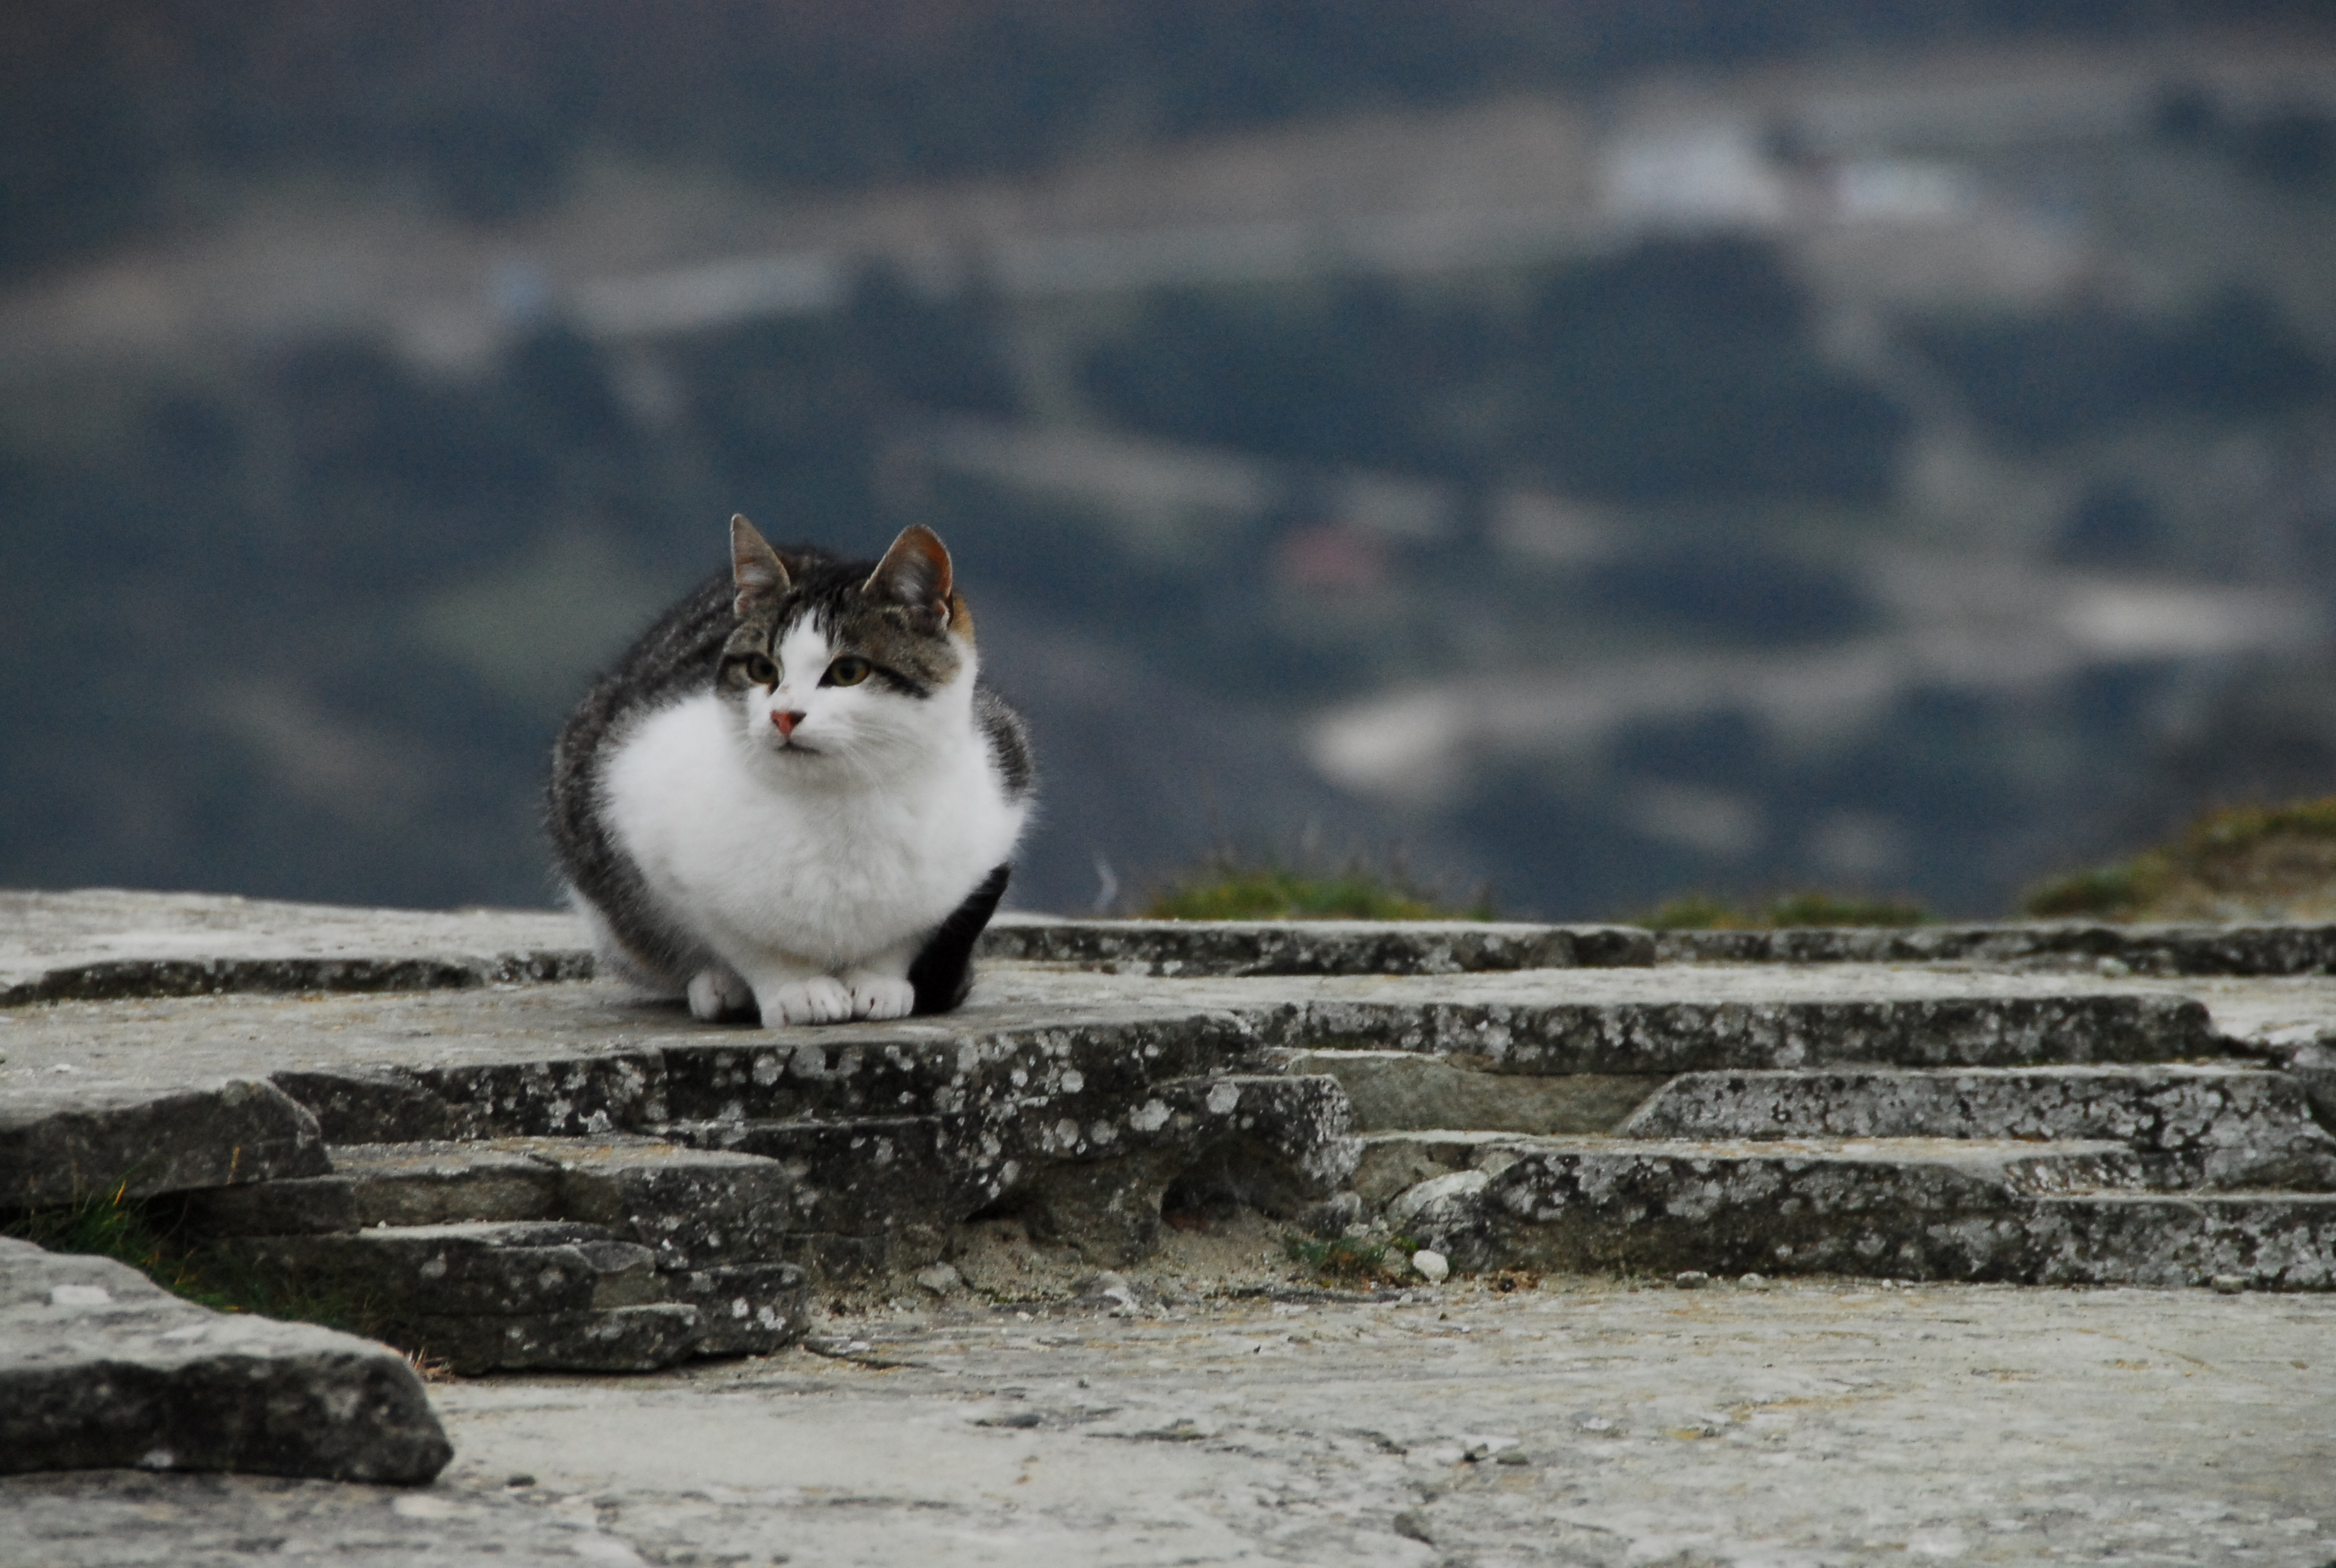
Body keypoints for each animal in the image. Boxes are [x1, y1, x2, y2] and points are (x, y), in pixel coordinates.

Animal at [546, 519, 1032, 1028]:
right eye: (763, 668)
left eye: (849, 671)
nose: (783, 715)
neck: (838, 802)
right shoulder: (648, 833)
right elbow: (741, 939)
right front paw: (796, 987)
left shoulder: (990, 827)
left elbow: (908, 935)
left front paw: (878, 981)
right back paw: (719, 987)